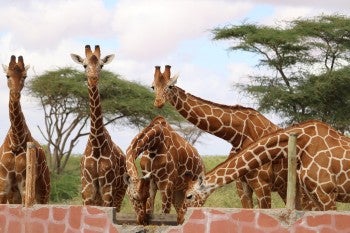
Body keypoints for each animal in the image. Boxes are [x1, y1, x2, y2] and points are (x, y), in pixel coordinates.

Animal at [0, 55, 50, 204]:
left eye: (25, 76)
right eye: (7, 75)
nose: (16, 94)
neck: (16, 141)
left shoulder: (24, 184)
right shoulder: (3, 185)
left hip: (43, 191)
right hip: (13, 195)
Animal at [70, 44, 126, 208]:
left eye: (101, 65)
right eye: (84, 65)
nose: (93, 78)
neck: (96, 144)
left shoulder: (108, 190)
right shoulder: (87, 191)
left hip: (119, 195)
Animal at [151, 64, 288, 208]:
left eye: (170, 86)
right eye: (153, 86)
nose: (158, 102)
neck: (238, 135)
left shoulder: (262, 184)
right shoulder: (241, 185)